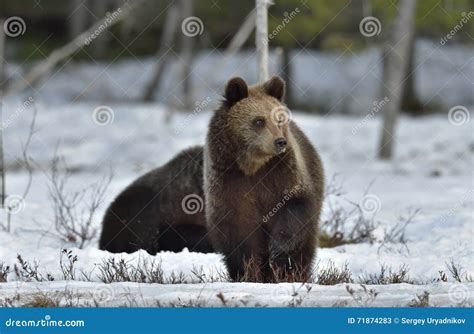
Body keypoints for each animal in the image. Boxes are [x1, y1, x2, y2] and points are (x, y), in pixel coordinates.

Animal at [202, 75, 324, 282]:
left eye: (279, 120)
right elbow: (237, 232)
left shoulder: (282, 173)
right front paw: (249, 272)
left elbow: (295, 207)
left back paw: (292, 274)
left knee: (304, 247)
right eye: (259, 121)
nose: (280, 142)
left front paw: (278, 249)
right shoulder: (228, 181)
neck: (253, 165)